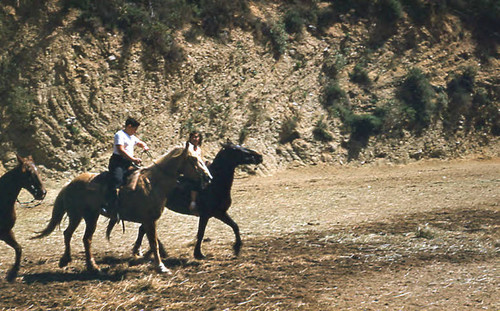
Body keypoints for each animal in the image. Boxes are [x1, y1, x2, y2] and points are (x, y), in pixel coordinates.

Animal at [34, 143, 204, 274]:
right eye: (193, 159)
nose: (207, 177)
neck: (153, 183)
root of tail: (70, 184)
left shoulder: (148, 220)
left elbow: (150, 239)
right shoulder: (149, 220)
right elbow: (153, 242)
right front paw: (161, 267)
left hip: (84, 216)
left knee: (76, 236)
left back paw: (80, 263)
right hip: (82, 216)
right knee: (77, 236)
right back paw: (81, 264)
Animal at [131, 143, 264, 260]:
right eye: (237, 150)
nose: (259, 156)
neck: (214, 184)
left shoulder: (220, 213)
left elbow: (235, 226)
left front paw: (237, 246)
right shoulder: (206, 215)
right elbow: (201, 233)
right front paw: (198, 254)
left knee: (143, 228)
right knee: (144, 228)